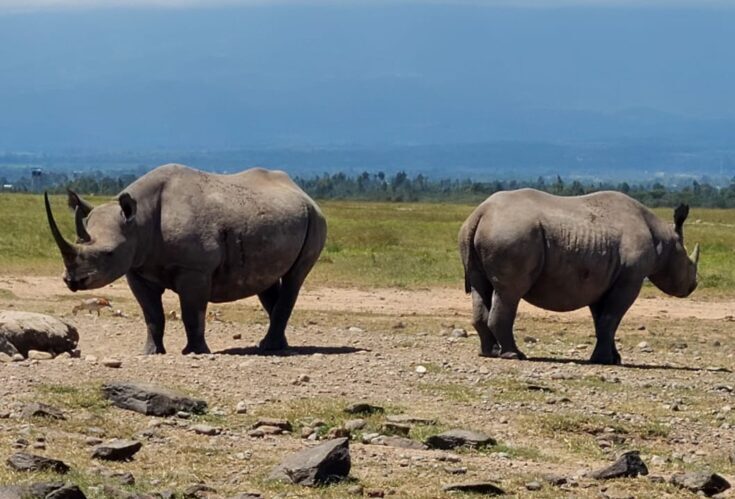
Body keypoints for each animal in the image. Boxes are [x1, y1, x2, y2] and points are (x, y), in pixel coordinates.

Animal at [45, 164, 327, 355]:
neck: (139, 219)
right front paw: (151, 352)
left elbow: (192, 310)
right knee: (265, 281)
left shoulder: (195, 269)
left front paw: (194, 352)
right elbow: (152, 314)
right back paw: (274, 347)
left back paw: (269, 347)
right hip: (280, 218)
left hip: (316, 218)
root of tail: (301, 192)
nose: (73, 281)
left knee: (295, 277)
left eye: (108, 253)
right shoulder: (136, 267)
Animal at [459, 189, 699, 365]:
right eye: (689, 264)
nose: (693, 286)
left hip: (482, 234)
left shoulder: (601, 279)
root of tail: (480, 213)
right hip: (512, 233)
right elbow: (611, 317)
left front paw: (613, 359)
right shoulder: (630, 278)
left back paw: (490, 353)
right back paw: (515, 355)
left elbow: (602, 320)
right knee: (509, 292)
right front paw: (604, 360)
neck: (664, 241)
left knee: (482, 288)